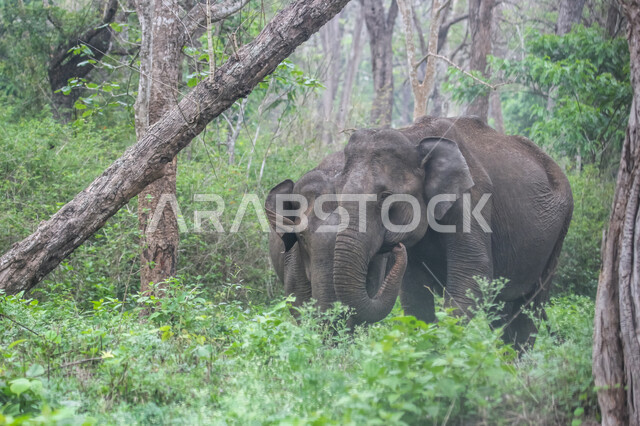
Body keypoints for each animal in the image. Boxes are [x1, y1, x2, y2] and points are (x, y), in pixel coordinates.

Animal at [329, 116, 573, 348]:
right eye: (337, 191)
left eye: (384, 196)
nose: (397, 248)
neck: (413, 135)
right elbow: (415, 290)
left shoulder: (473, 197)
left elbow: (472, 271)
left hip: (559, 232)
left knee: (529, 307)